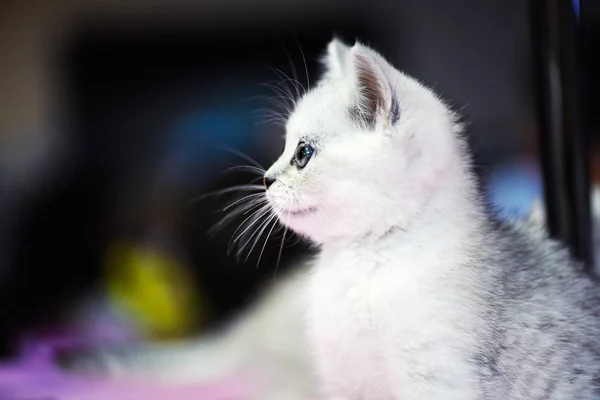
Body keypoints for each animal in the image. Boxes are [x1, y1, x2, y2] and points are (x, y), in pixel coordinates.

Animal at [262, 38, 600, 400]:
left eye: (303, 153)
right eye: (286, 147)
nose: (266, 179)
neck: (364, 263)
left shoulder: (436, 378)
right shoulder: (344, 384)